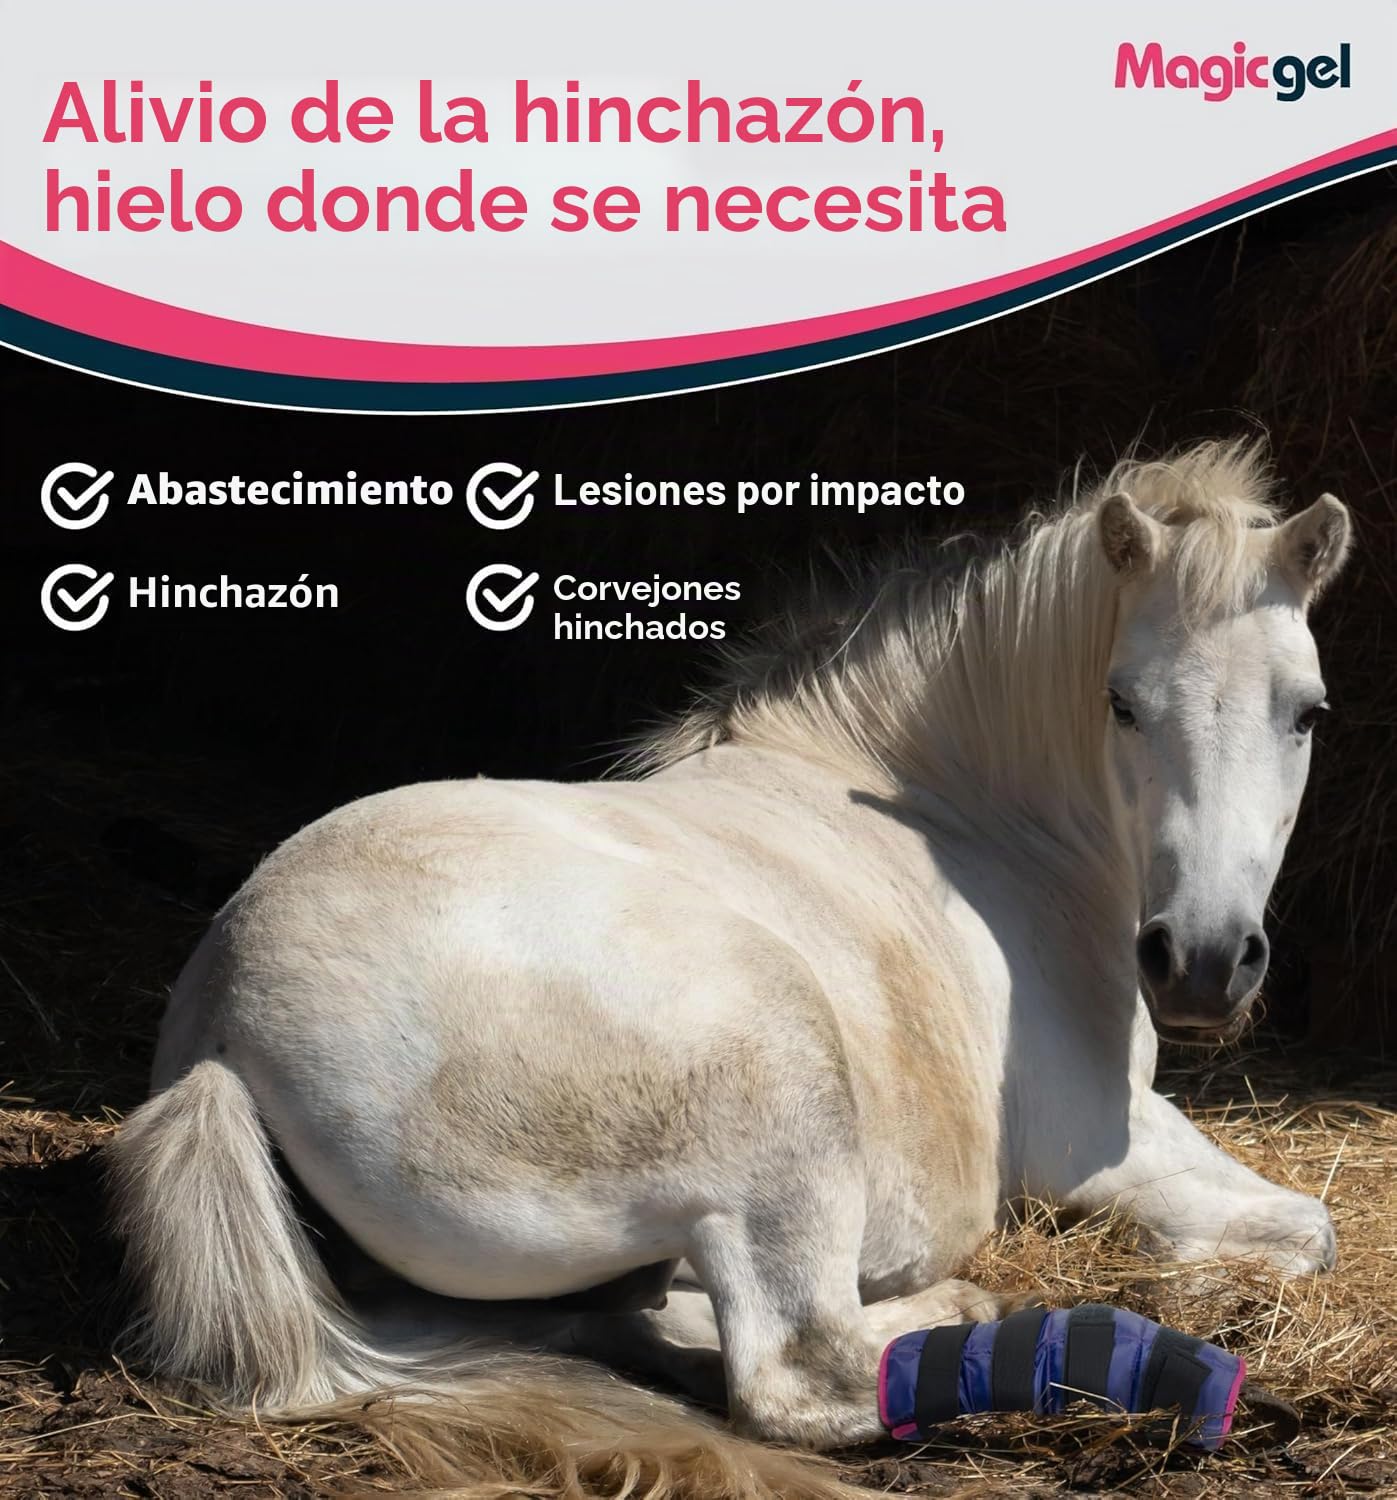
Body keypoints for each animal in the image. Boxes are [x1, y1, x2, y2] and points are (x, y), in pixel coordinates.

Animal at [108, 440, 1352, 1499]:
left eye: (1306, 712)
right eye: (1120, 704)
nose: (1200, 964)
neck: (970, 824)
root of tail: (222, 1035)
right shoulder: (1102, 1142)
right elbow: (1307, 1230)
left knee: (634, 1324)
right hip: (776, 1083)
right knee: (800, 1372)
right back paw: (971, 1312)